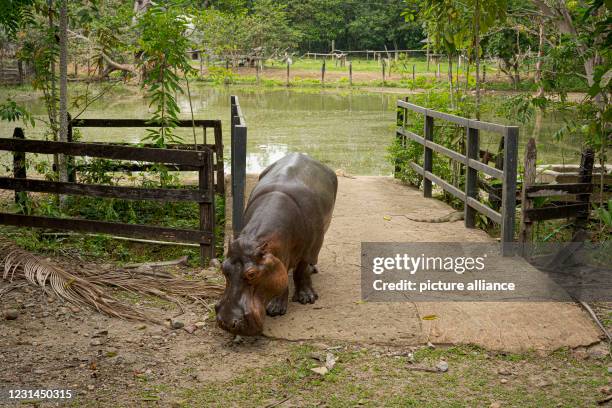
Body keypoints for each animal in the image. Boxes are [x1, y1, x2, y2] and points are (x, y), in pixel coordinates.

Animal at [216, 153, 340, 334]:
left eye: (252, 274)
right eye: (223, 268)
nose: (226, 322)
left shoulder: (309, 249)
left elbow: (301, 271)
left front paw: (307, 299)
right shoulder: (279, 255)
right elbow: (282, 275)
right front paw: (276, 309)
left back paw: (313, 270)